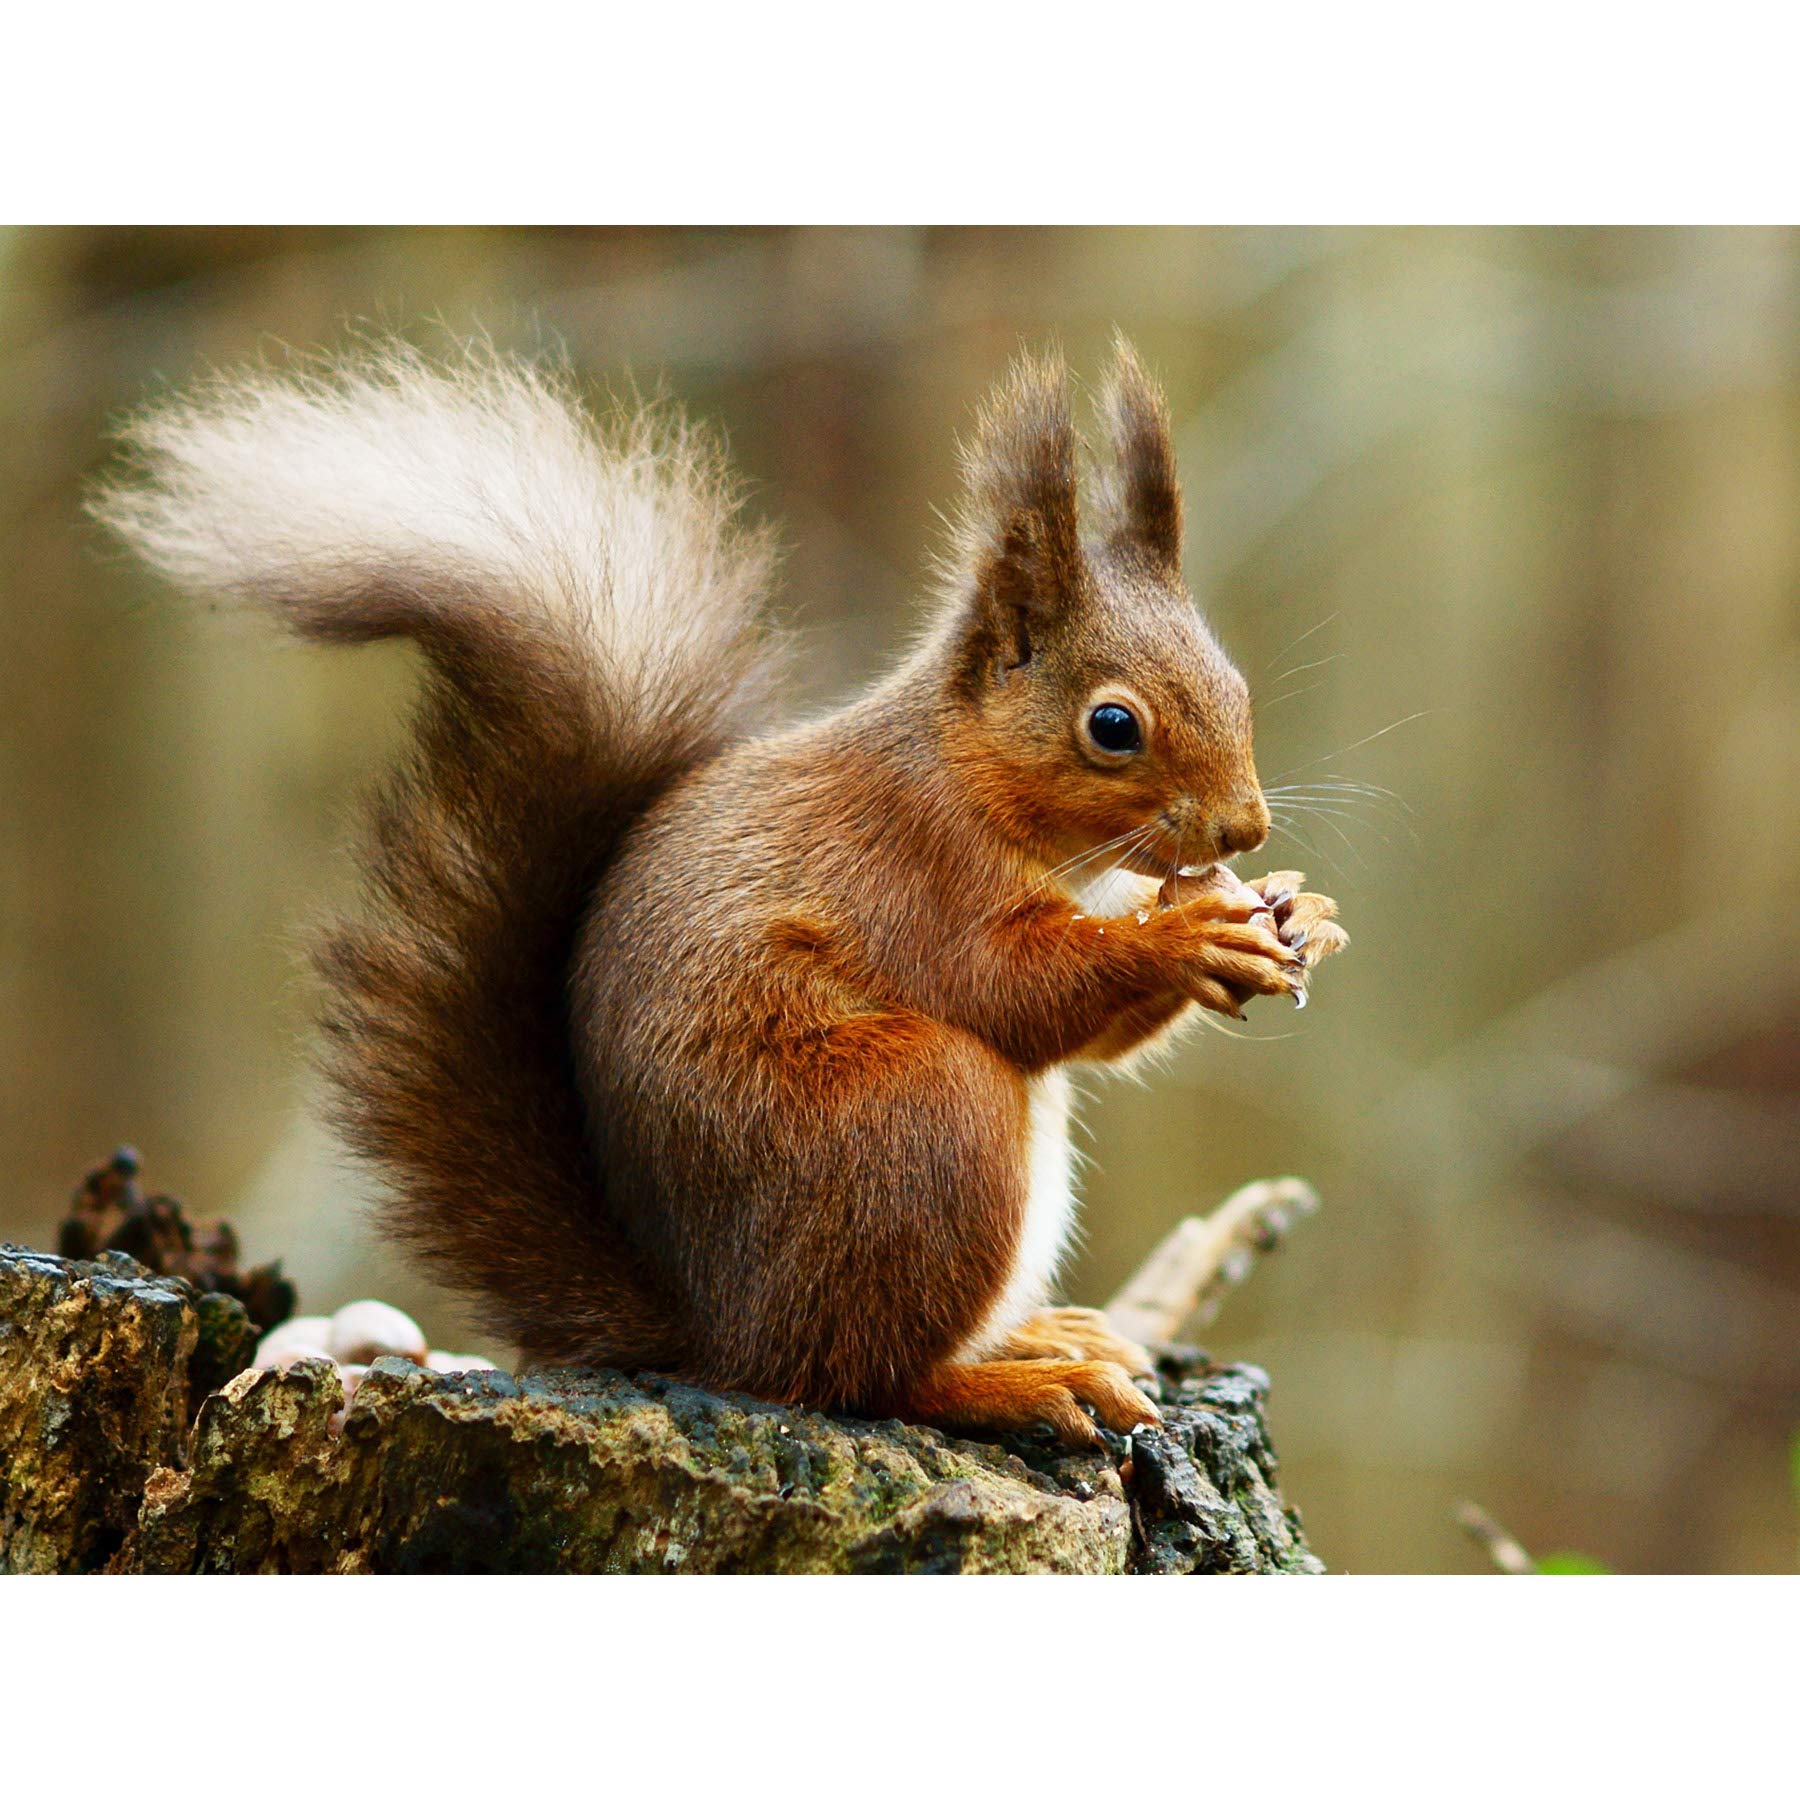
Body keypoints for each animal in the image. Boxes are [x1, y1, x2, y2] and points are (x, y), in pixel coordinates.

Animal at [92, 334, 1346, 1448]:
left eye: (1235, 683)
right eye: (1112, 726)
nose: (1245, 827)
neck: (974, 781)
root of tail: (717, 1333)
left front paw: (1298, 915)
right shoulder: (913, 869)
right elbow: (1016, 988)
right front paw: (1191, 935)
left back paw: (1039, 1338)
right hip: (916, 1120)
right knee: (858, 1378)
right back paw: (1013, 1384)